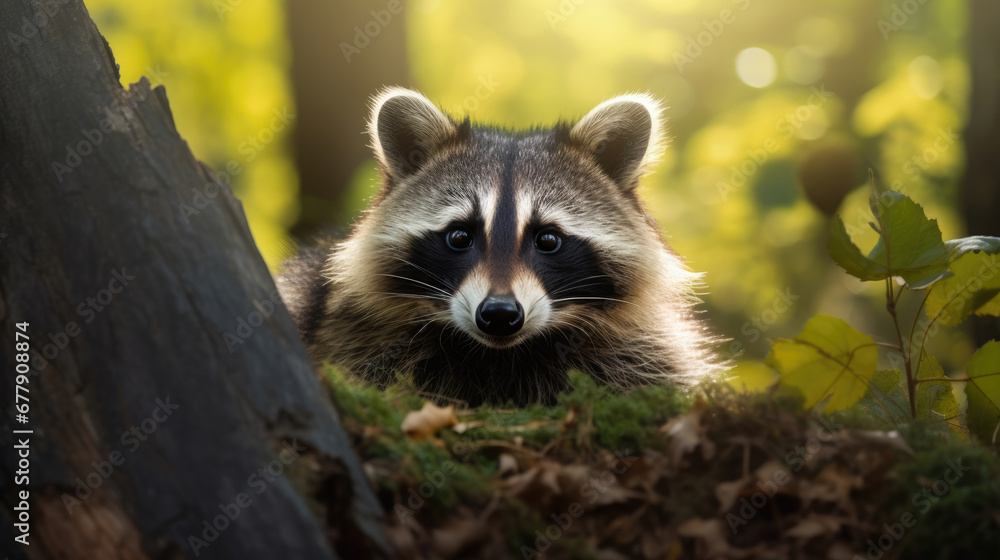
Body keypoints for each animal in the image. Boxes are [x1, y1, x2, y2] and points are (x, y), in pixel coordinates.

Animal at [278, 87, 724, 404]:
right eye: (459, 236)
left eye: (548, 239)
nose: (499, 314)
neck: (501, 355)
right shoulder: (346, 331)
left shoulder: (645, 346)